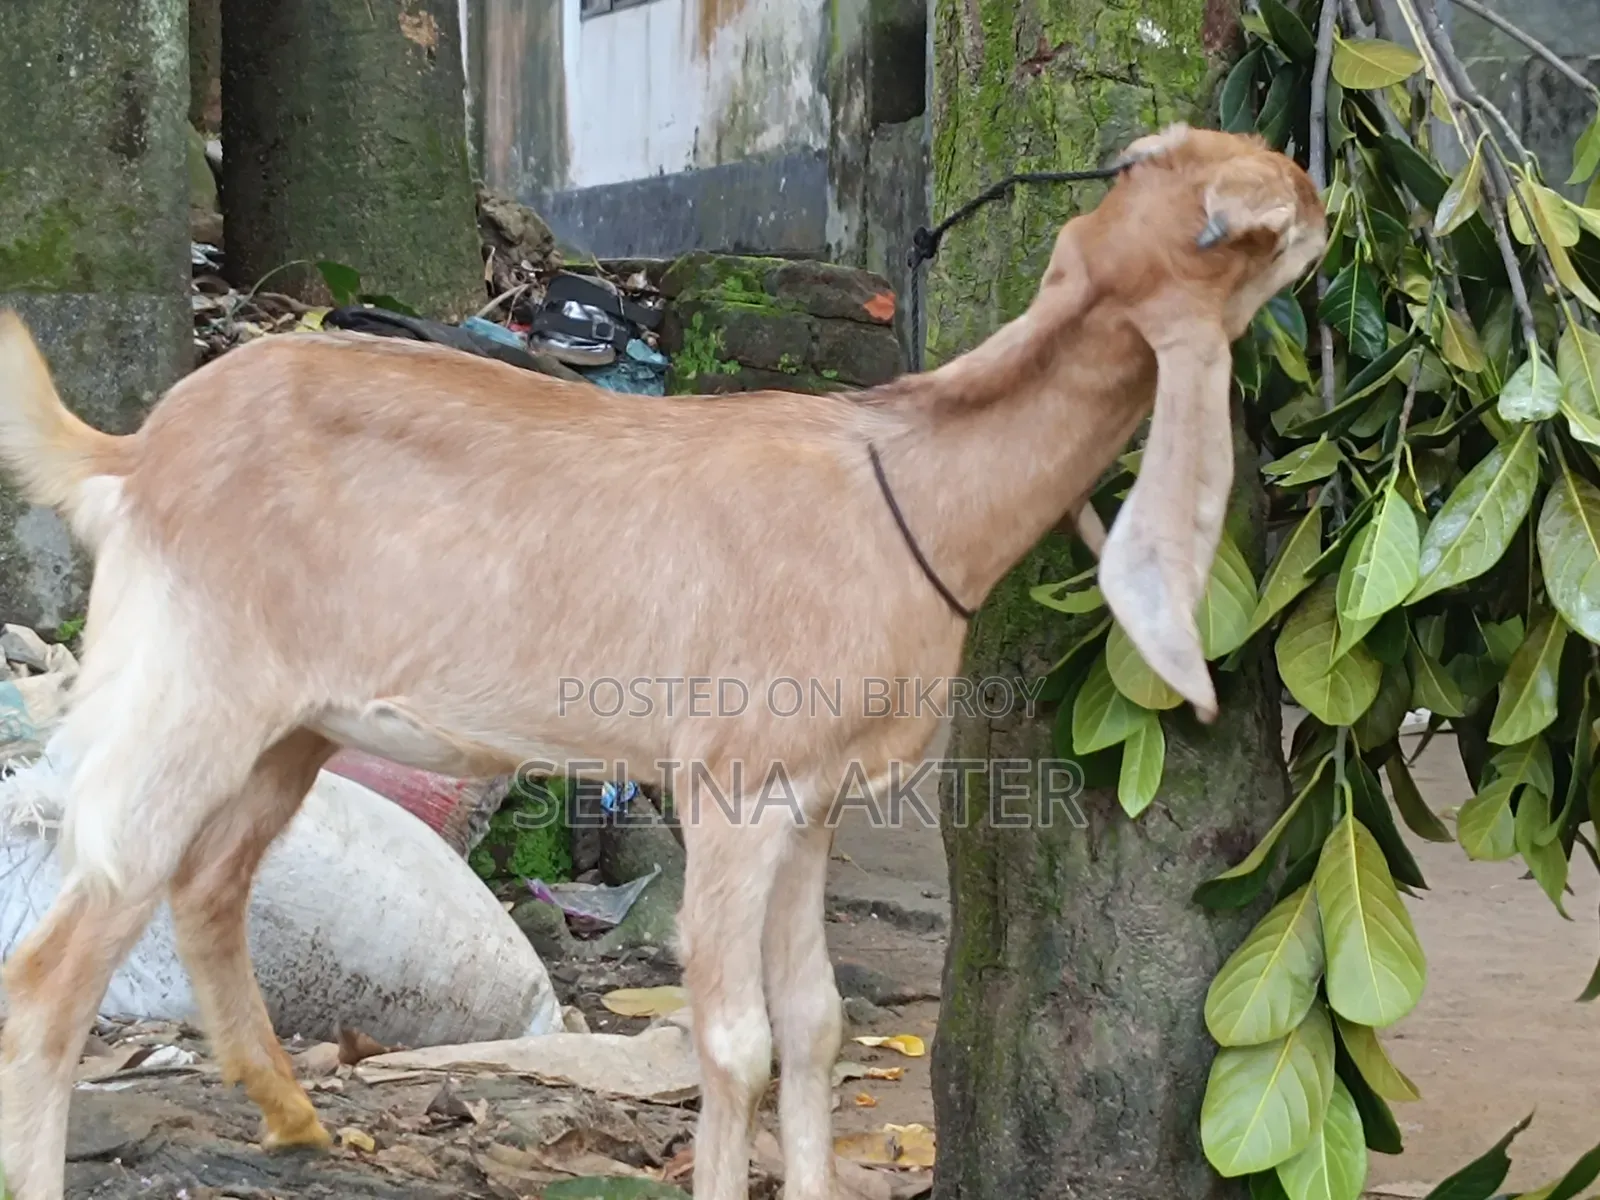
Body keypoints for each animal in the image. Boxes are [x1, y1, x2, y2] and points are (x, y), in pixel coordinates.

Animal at [0, 124, 1323, 1200]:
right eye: (1251, 219)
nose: (1317, 188)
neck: (906, 486)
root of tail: (134, 457)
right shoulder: (731, 786)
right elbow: (734, 1041)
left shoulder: (814, 800)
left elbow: (816, 1023)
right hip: (188, 692)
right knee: (57, 968)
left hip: (292, 725)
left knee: (207, 889)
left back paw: (294, 1120)